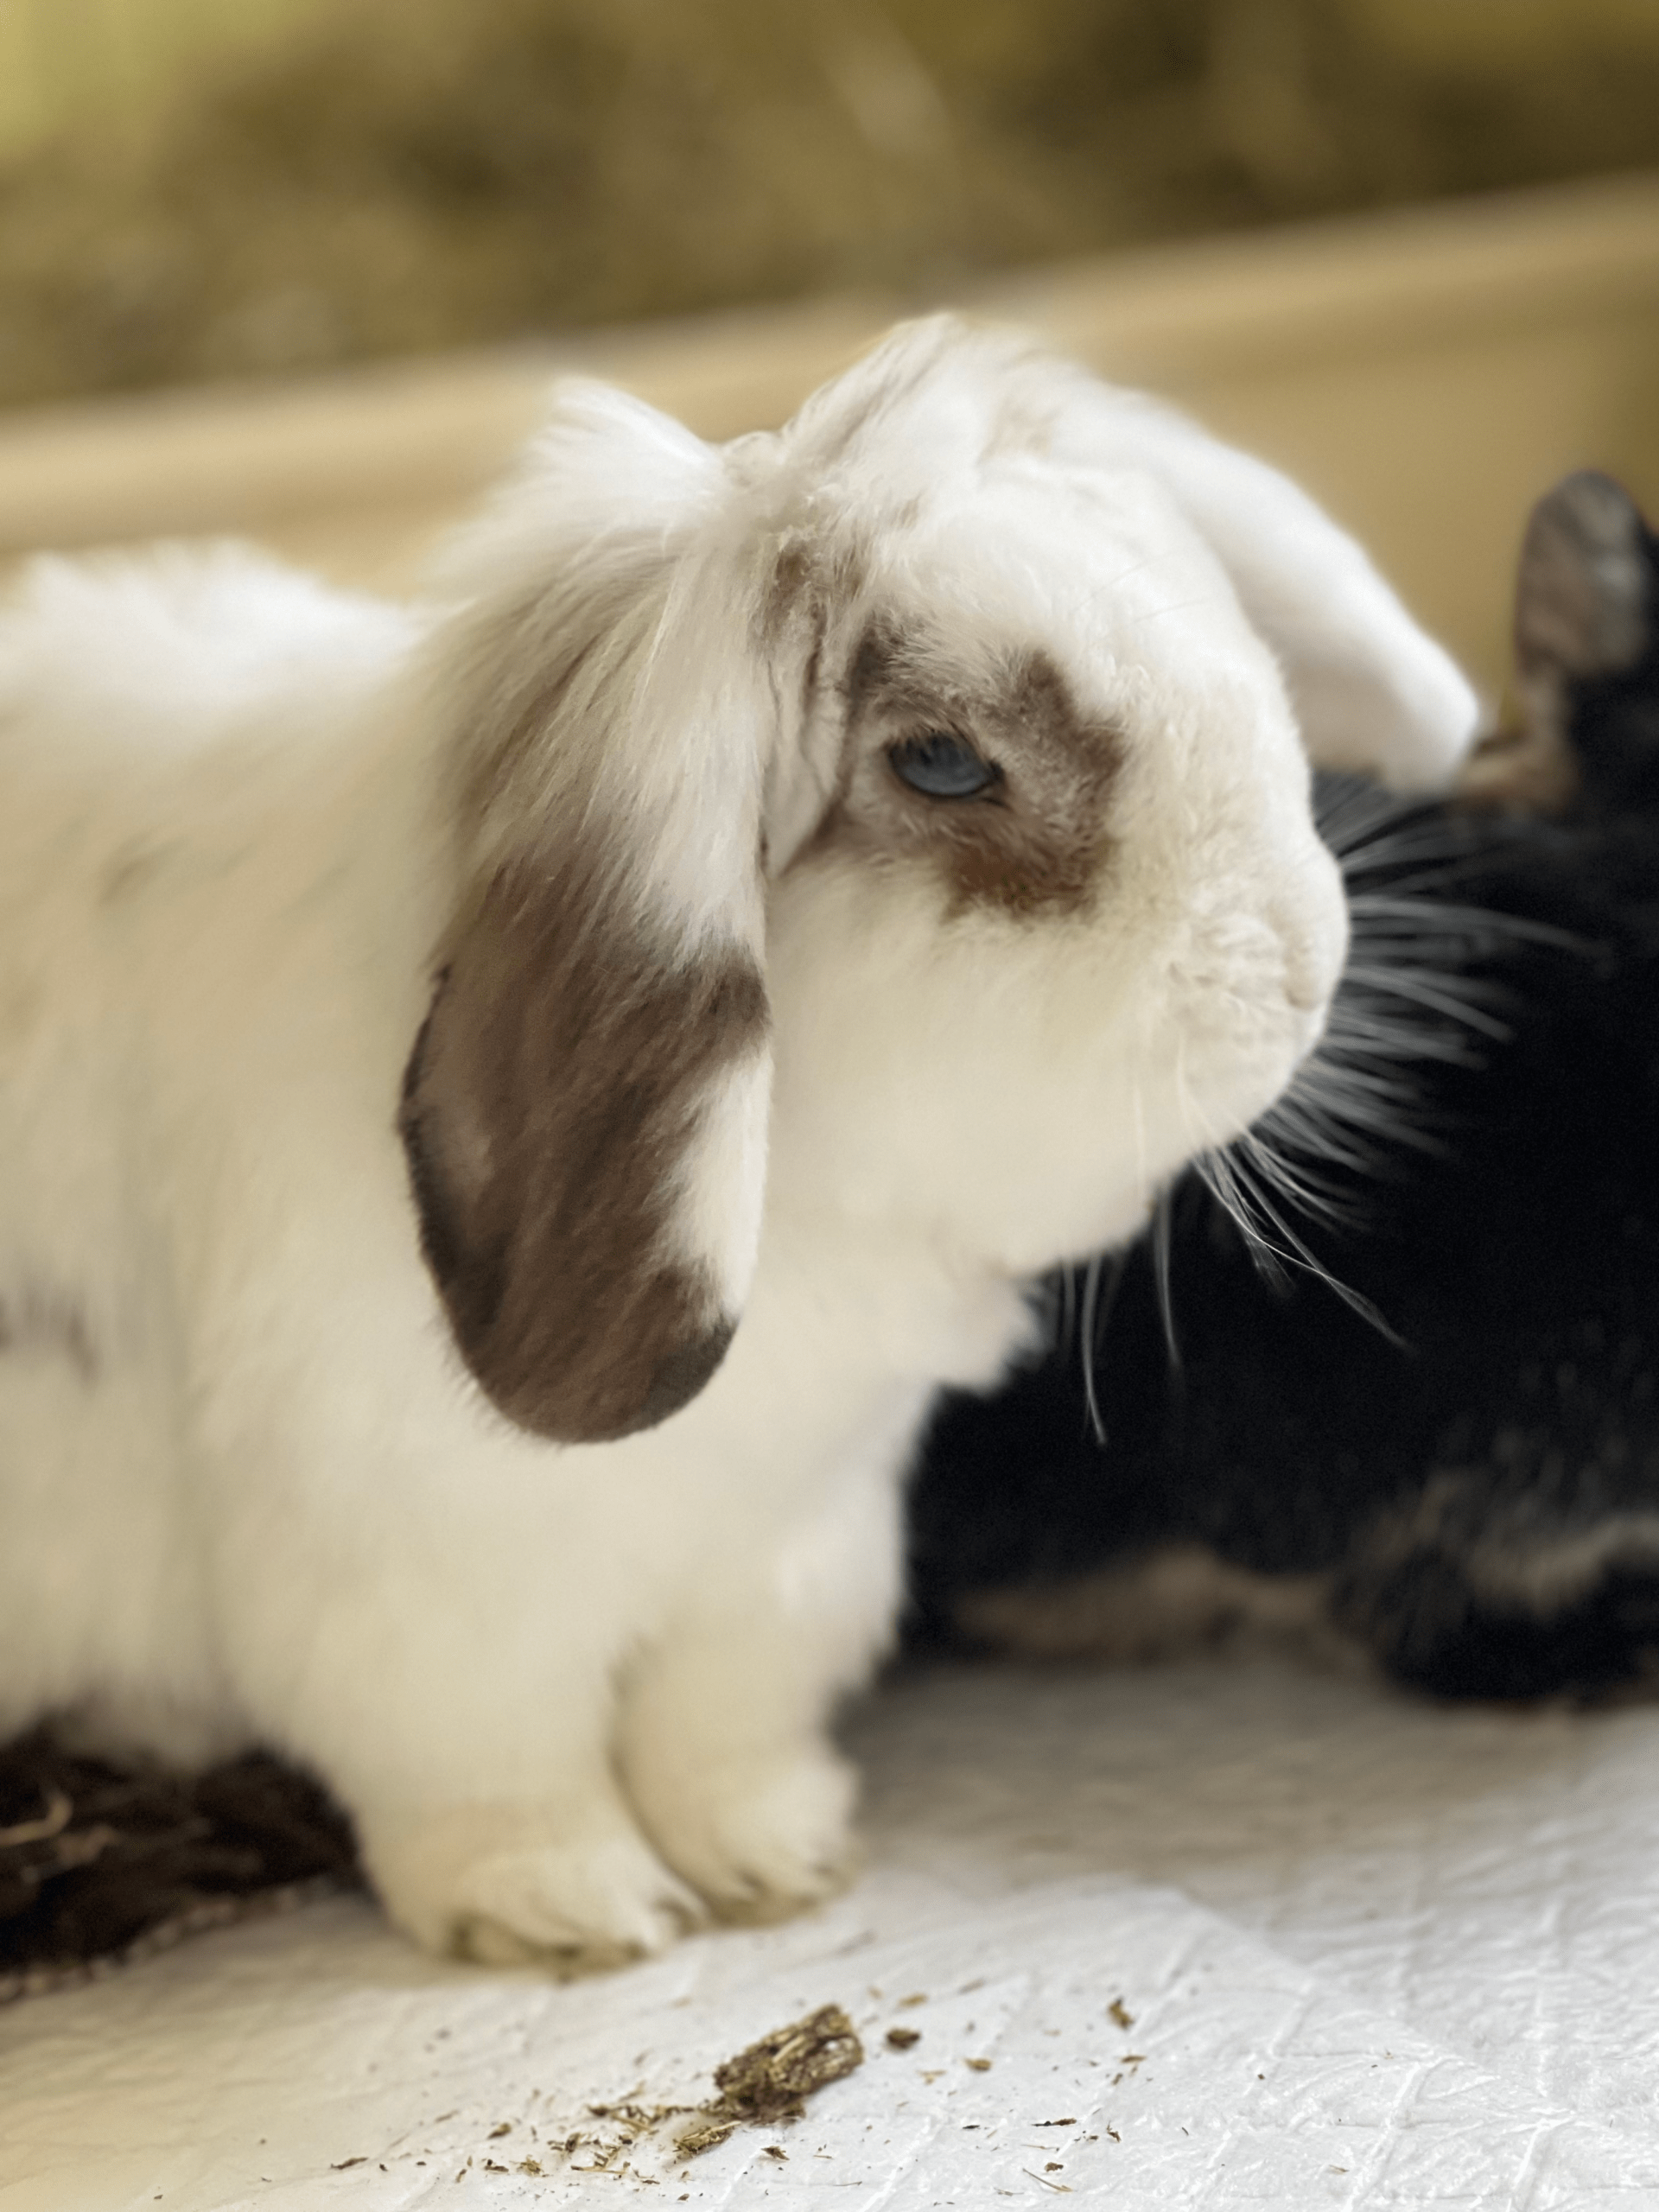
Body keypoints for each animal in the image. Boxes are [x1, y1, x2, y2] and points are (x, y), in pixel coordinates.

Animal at [0, 315, 1474, 1969]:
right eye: (944, 764)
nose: (1307, 969)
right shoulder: (421, 1587)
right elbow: (490, 1769)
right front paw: (576, 1911)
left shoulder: (788, 1548)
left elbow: (723, 1730)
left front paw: (781, 1859)